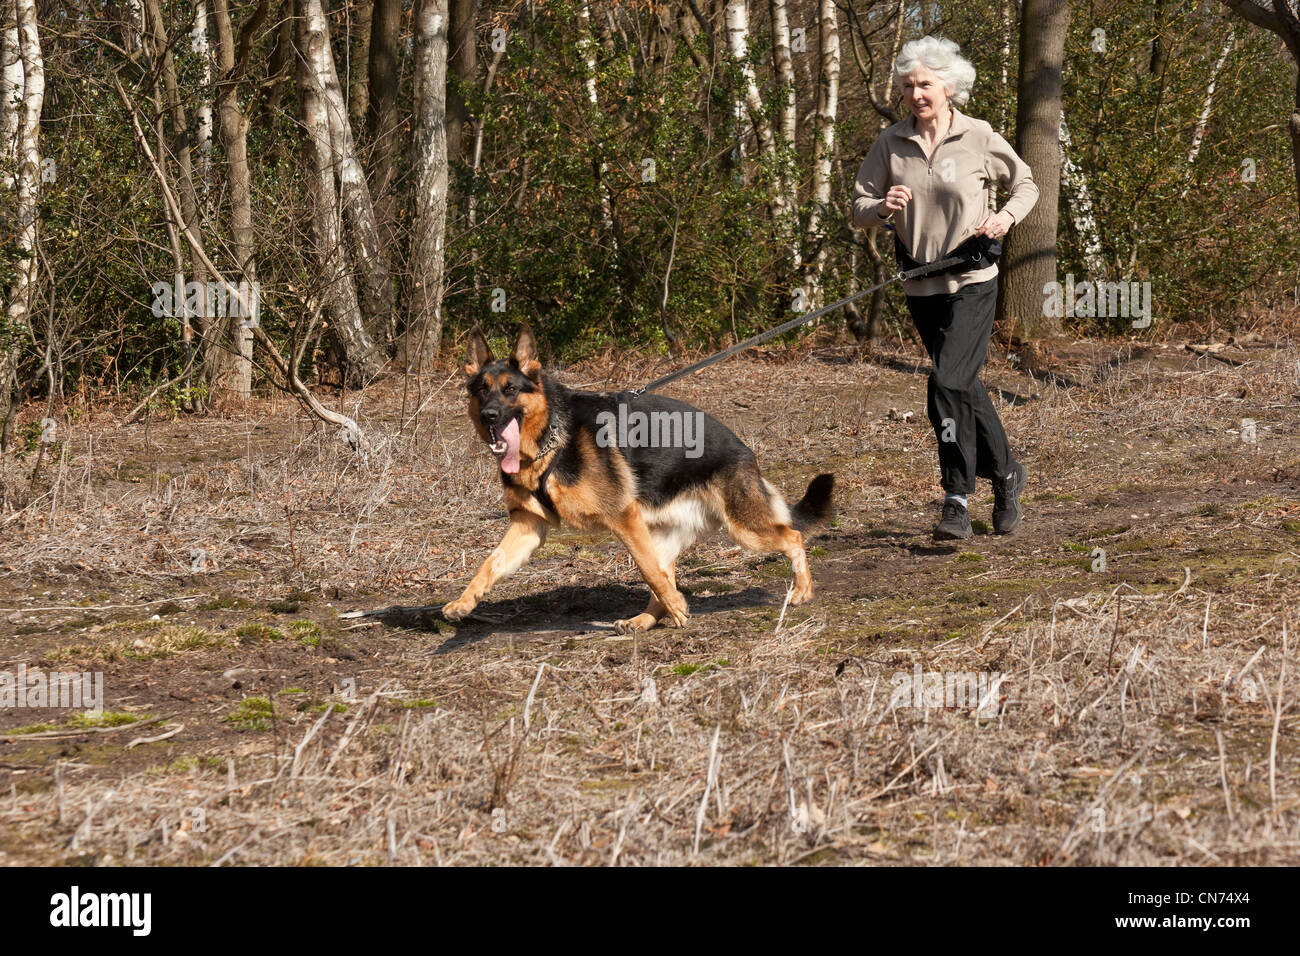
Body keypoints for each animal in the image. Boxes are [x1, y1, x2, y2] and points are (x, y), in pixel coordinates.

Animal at [441, 325, 837, 632]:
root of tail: (745, 452)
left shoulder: (623, 518)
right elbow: (490, 564)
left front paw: (679, 605)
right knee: (664, 575)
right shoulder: (528, 526)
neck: (551, 439)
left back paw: (802, 590)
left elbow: (647, 571)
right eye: (481, 390)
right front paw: (464, 602)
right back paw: (644, 620)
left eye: (510, 390)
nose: (490, 416)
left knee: (793, 537)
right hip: (665, 534)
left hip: (743, 528)